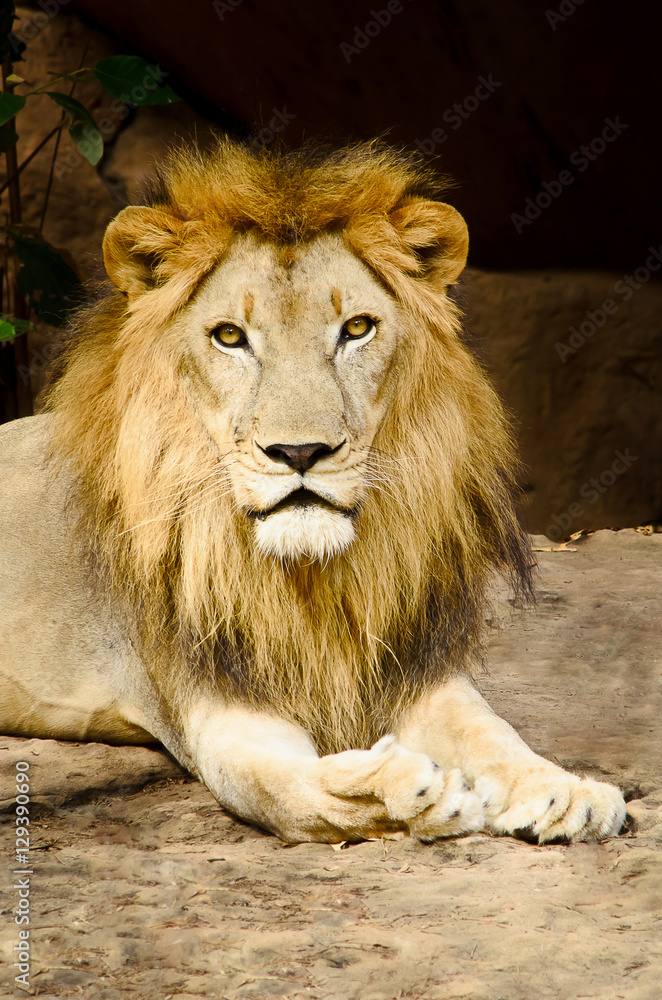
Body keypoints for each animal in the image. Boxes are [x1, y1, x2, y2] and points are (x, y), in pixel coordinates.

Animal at [0, 139, 625, 844]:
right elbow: (290, 791)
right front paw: (407, 789)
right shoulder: (218, 704)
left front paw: (564, 790)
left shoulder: (413, 666)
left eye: (356, 329)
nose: (300, 453)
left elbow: (491, 731)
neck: (312, 580)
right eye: (229, 336)